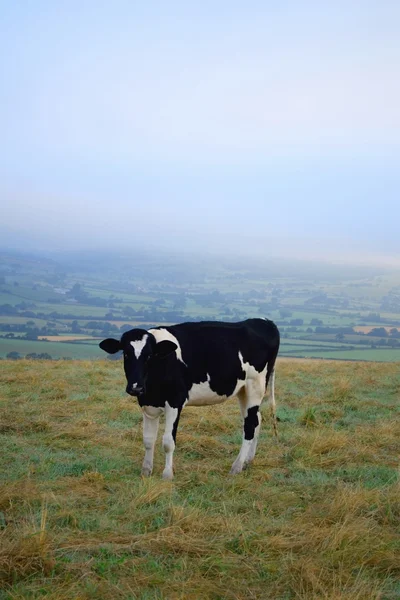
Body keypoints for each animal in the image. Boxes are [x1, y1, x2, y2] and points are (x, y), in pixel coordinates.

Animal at [99, 318, 280, 478]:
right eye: (126, 354)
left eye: (149, 355)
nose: (135, 387)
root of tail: (264, 321)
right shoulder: (147, 404)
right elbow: (148, 439)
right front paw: (146, 471)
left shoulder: (175, 401)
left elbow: (168, 442)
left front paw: (167, 475)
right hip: (243, 391)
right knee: (256, 420)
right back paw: (248, 461)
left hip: (255, 385)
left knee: (250, 425)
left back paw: (236, 467)